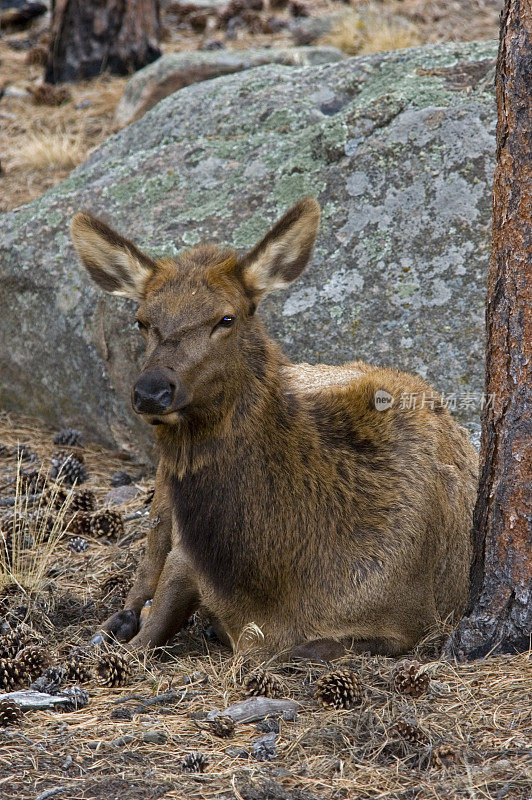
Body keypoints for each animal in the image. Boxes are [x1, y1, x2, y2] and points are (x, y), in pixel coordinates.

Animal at [71, 197, 478, 660]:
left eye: (226, 318)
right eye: (142, 321)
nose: (151, 391)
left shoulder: (410, 624)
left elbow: (292, 649)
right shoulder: (189, 557)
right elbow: (154, 625)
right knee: (147, 559)